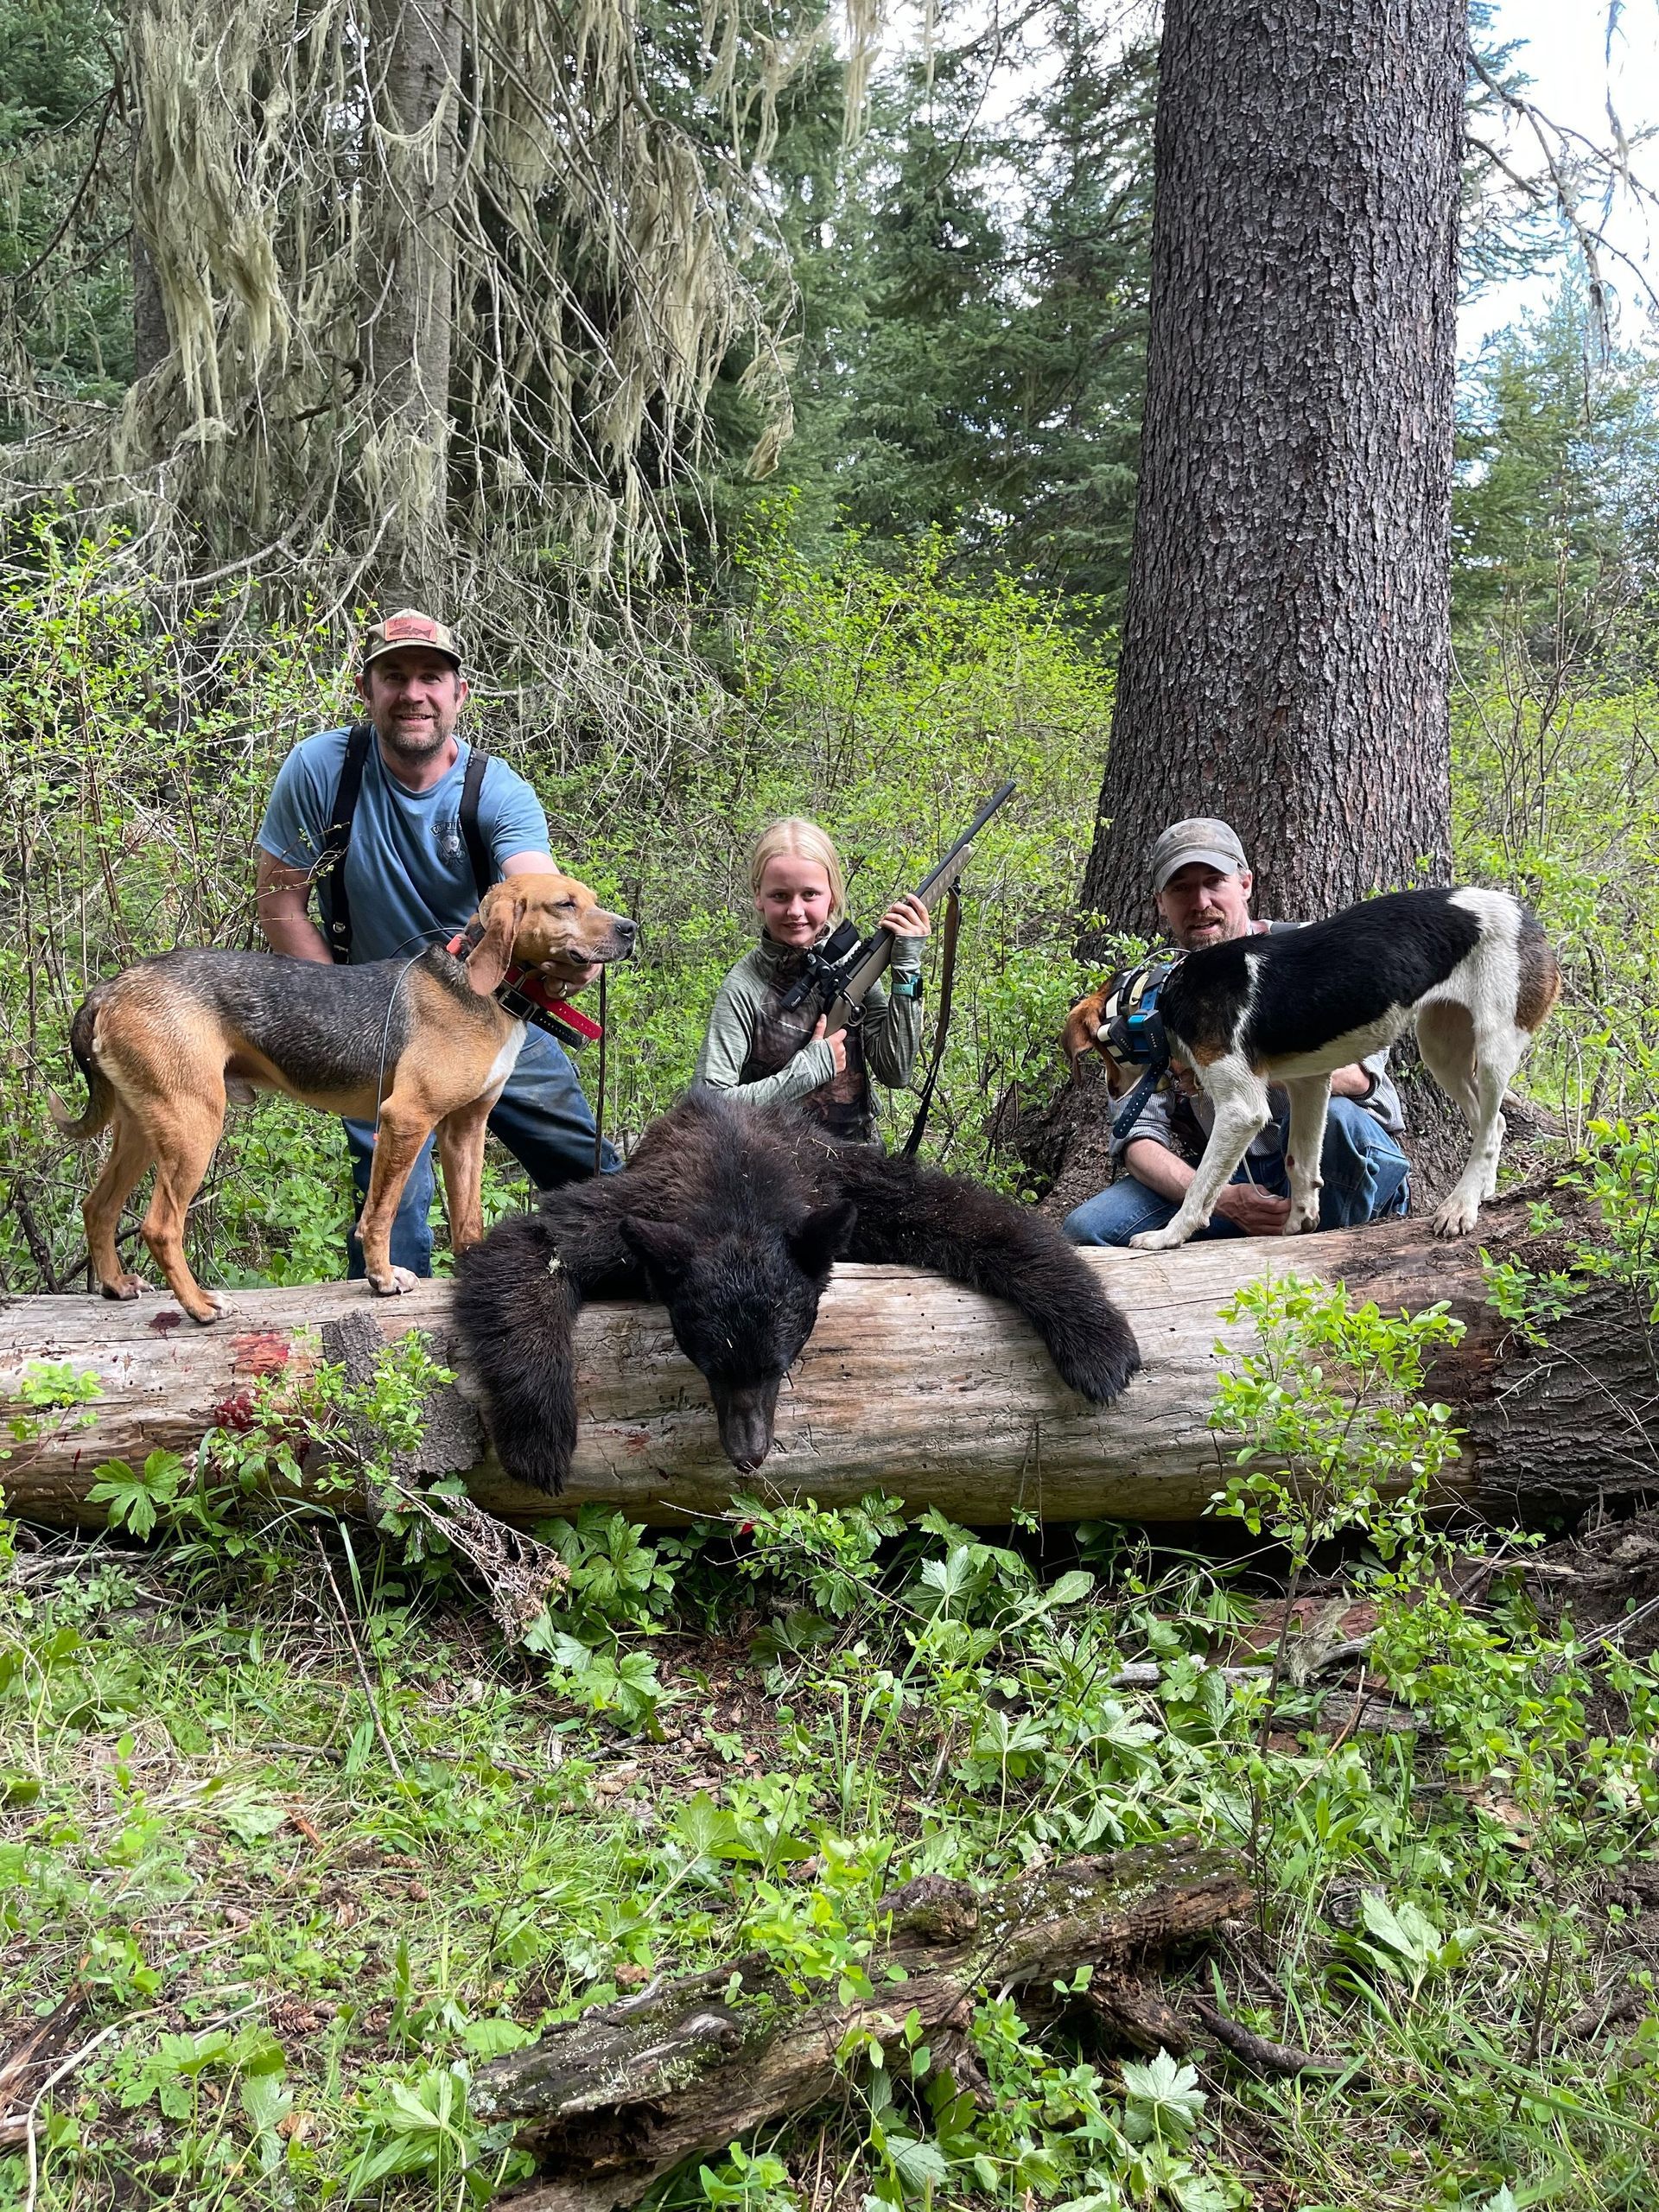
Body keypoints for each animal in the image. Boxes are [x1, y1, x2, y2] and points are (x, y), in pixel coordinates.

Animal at [453, 1088, 1141, 1492]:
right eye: (708, 1363)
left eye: (781, 1363)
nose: (748, 1455)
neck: (737, 1185)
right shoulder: (632, 1215)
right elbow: (533, 1246)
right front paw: (539, 1436)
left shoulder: (836, 1182)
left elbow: (965, 1213)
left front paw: (1098, 1341)